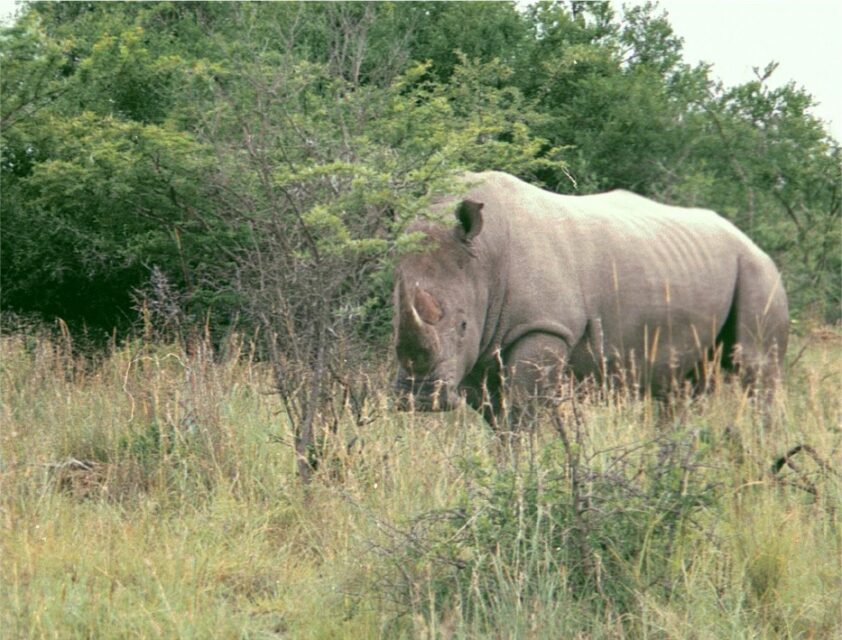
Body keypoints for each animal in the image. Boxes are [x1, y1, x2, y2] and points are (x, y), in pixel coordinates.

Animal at [393, 171, 788, 425]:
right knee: (680, 385)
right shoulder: (481, 348)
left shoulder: (544, 327)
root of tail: (749, 239)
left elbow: (520, 414)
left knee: (756, 369)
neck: (485, 257)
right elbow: (498, 419)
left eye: (462, 325)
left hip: (757, 270)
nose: (420, 399)